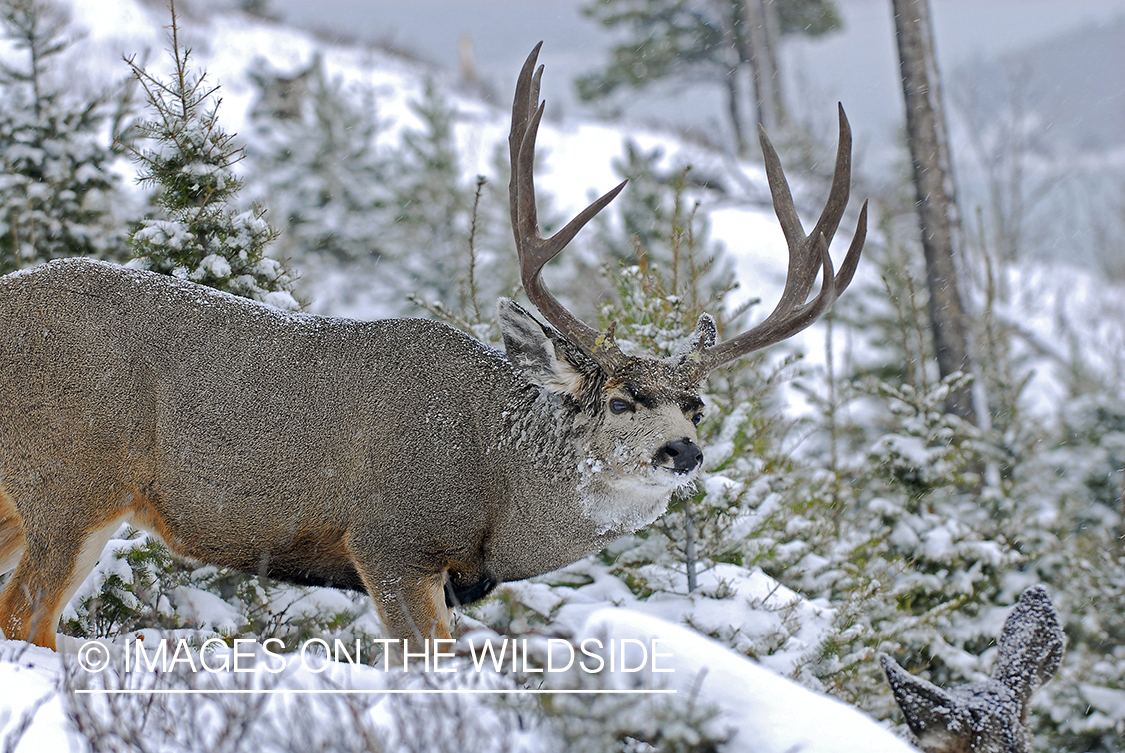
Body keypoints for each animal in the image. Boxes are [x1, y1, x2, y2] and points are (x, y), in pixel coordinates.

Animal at [0, 44, 866, 652]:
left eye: (697, 405)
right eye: (620, 399)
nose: (682, 451)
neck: (495, 478)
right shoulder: (390, 537)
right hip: (70, 475)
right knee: (25, 617)